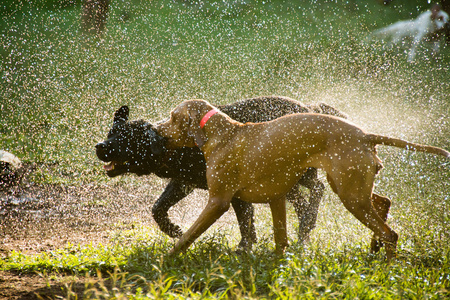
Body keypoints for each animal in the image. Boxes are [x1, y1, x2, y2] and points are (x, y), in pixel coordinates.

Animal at [96, 96, 346, 248]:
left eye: (126, 140)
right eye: (110, 133)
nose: (99, 146)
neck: (173, 144)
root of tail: (311, 107)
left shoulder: (231, 191)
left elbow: (245, 221)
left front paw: (245, 247)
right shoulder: (183, 182)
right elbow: (158, 208)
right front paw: (174, 230)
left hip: (300, 174)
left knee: (318, 188)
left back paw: (306, 224)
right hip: (285, 181)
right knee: (302, 202)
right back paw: (305, 228)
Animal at [156, 99, 448, 262]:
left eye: (172, 117)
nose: (156, 129)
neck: (222, 132)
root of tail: (365, 135)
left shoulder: (218, 202)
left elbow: (188, 236)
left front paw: (166, 260)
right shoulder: (276, 198)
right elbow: (279, 238)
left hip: (350, 195)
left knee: (391, 233)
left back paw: (387, 266)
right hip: (350, 187)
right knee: (384, 203)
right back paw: (374, 246)